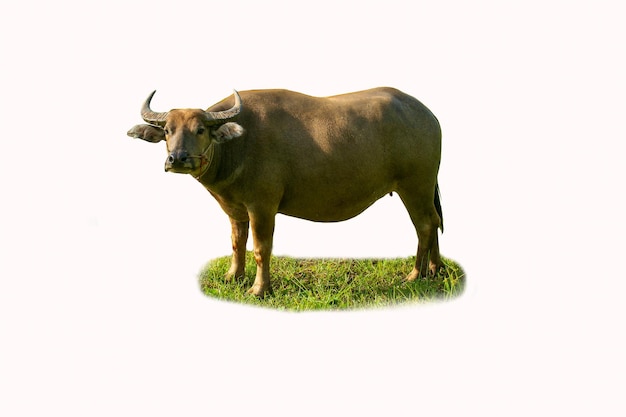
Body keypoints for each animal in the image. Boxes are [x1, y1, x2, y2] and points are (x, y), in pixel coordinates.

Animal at [124, 88, 442, 296]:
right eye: (168, 130)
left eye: (200, 129)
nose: (176, 158)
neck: (238, 146)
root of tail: (428, 115)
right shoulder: (235, 208)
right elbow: (237, 243)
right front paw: (233, 277)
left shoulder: (262, 206)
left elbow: (261, 249)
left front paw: (259, 289)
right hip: (426, 188)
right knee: (435, 221)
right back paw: (435, 269)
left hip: (415, 185)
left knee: (425, 225)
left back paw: (414, 275)